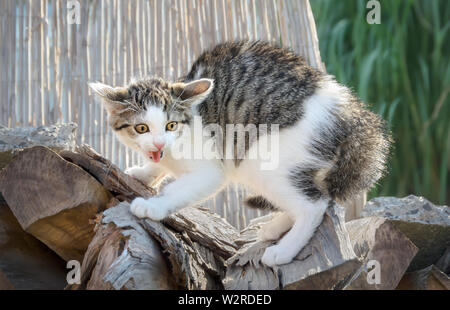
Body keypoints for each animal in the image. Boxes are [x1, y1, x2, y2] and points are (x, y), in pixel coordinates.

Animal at [89, 40, 390, 266]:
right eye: (141, 128)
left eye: (170, 125)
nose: (160, 143)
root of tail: (348, 113)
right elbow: (158, 165)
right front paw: (145, 171)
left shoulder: (211, 170)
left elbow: (179, 190)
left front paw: (152, 206)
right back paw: (275, 228)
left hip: (265, 159)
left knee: (314, 204)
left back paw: (284, 250)